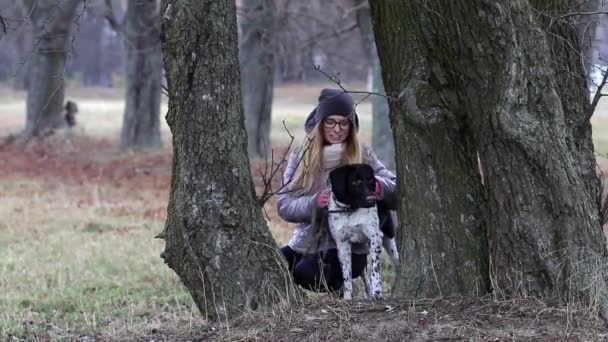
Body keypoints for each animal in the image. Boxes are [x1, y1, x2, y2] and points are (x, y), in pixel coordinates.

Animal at [326, 163, 402, 300]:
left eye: (371, 180)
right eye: (355, 182)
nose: (372, 197)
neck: (350, 210)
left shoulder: (375, 237)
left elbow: (375, 270)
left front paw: (377, 293)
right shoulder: (342, 245)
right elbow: (347, 274)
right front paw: (347, 297)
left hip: (388, 239)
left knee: (396, 261)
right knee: (364, 275)